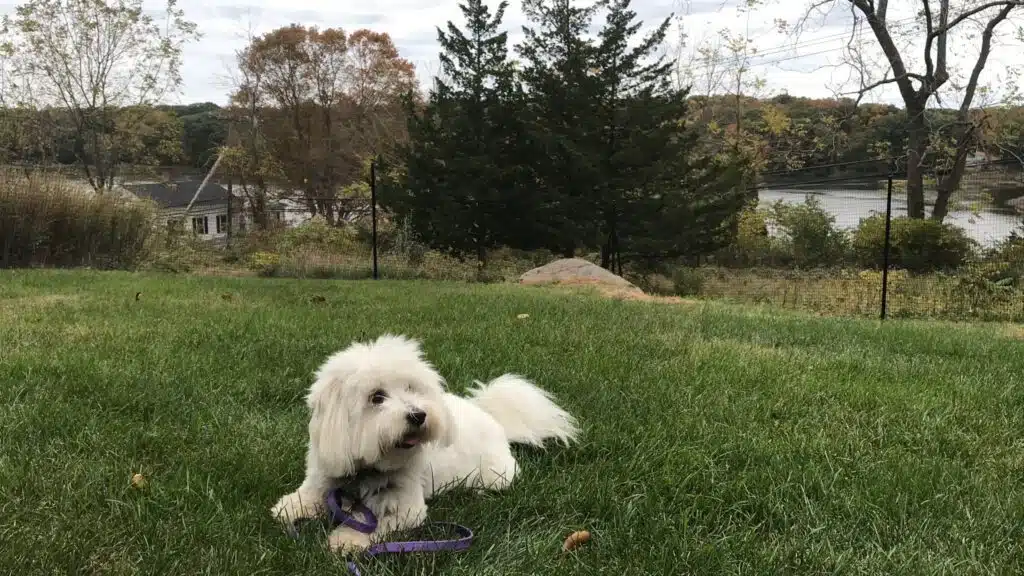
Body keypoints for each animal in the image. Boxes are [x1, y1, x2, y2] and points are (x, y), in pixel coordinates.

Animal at [268, 334, 581, 549]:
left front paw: (345, 541)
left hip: (496, 475)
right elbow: (305, 497)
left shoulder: (406, 508)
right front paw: (291, 507)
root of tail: (490, 415)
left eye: (411, 389)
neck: (366, 470)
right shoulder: (324, 476)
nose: (418, 415)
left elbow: (368, 525)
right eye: (377, 397)